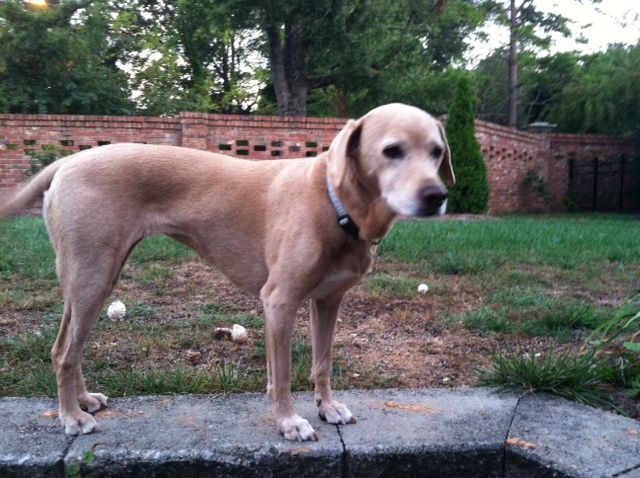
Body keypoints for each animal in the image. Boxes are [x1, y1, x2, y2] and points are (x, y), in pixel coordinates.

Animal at [0, 103, 456, 440]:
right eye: (392, 150)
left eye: (437, 152)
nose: (436, 196)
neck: (332, 200)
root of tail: (67, 160)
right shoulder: (279, 302)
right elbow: (283, 374)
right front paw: (289, 423)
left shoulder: (327, 301)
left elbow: (321, 362)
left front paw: (327, 407)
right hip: (93, 278)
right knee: (63, 352)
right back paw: (71, 417)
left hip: (91, 279)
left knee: (67, 347)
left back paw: (82, 401)